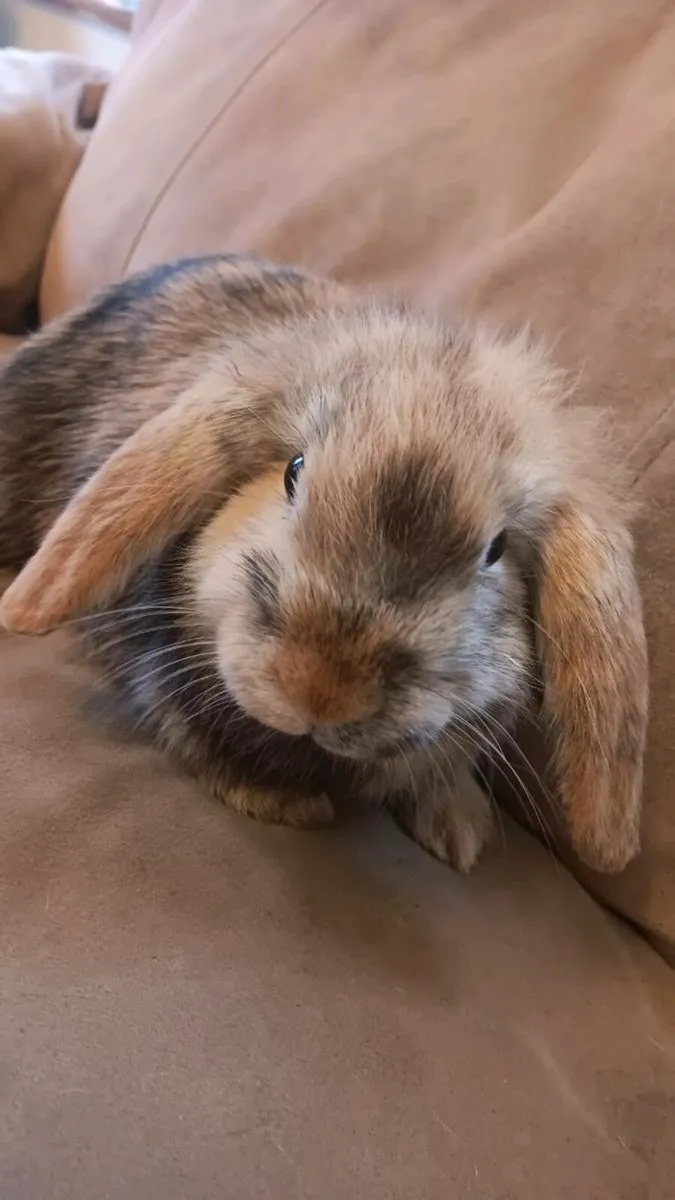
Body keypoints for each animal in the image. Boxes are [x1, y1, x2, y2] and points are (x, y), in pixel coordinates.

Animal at [0, 254, 648, 874]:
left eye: (496, 549)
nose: (321, 691)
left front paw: (461, 831)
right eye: (293, 472)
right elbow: (191, 729)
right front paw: (282, 803)